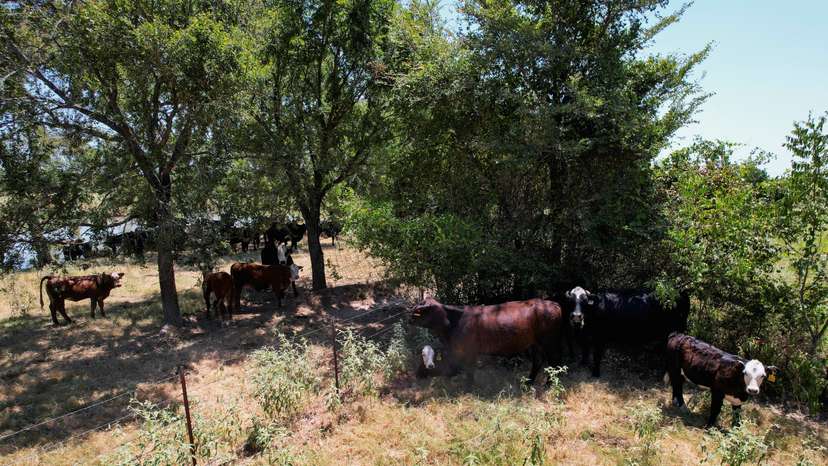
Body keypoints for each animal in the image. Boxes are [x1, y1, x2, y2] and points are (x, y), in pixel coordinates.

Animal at [409, 298, 564, 385]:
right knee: (538, 361)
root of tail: (552, 303)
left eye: (423, 311)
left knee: (555, 361)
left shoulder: (470, 351)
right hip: (534, 343)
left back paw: (548, 384)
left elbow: (468, 370)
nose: (417, 374)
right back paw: (528, 382)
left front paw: (469, 388)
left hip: (549, 341)